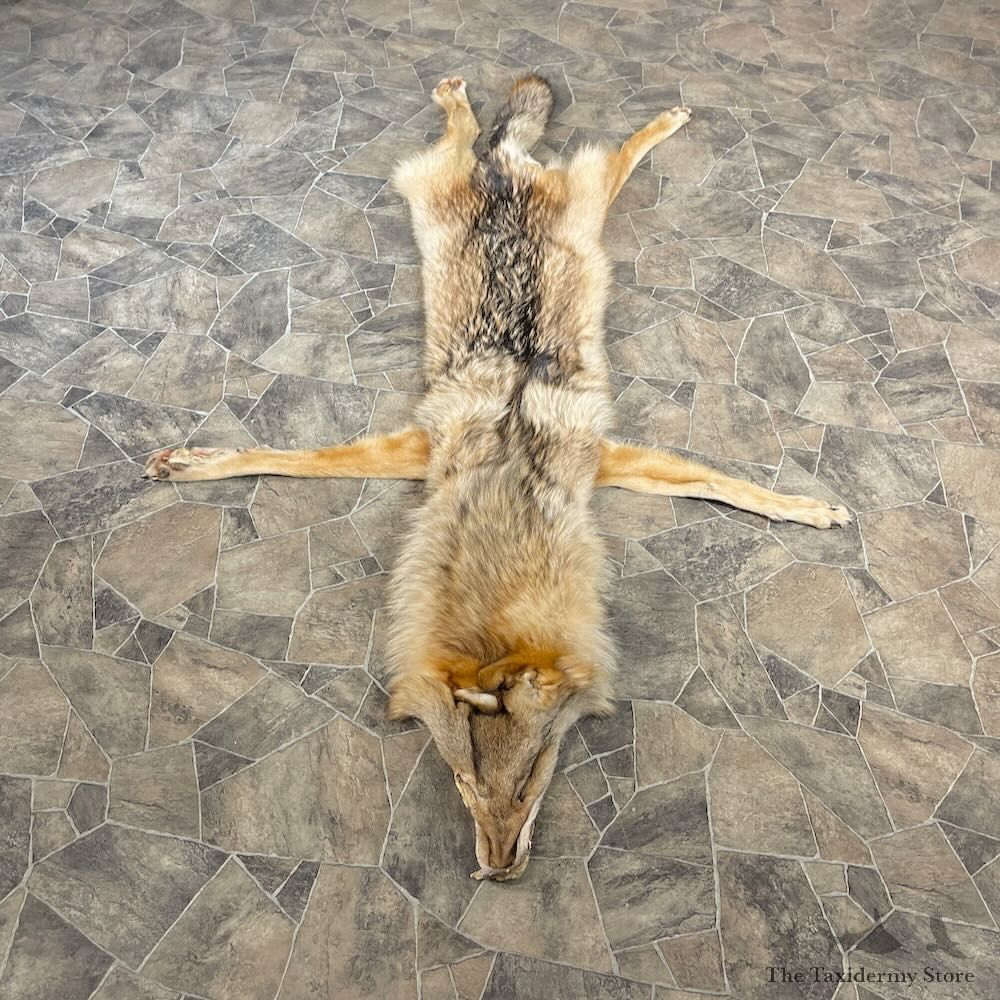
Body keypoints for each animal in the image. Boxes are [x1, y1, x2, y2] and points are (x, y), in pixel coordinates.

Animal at [145, 76, 850, 880]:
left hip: (582, 200)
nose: (498, 869)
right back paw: (463, 103)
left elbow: (732, 486)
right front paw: (194, 464)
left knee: (596, 150)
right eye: (462, 782)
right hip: (448, 192)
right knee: (481, 139)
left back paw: (647, 119)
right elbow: (291, 458)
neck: (509, 477)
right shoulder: (427, 448)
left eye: (533, 777)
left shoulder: (601, 456)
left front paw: (808, 508)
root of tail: (504, 173)